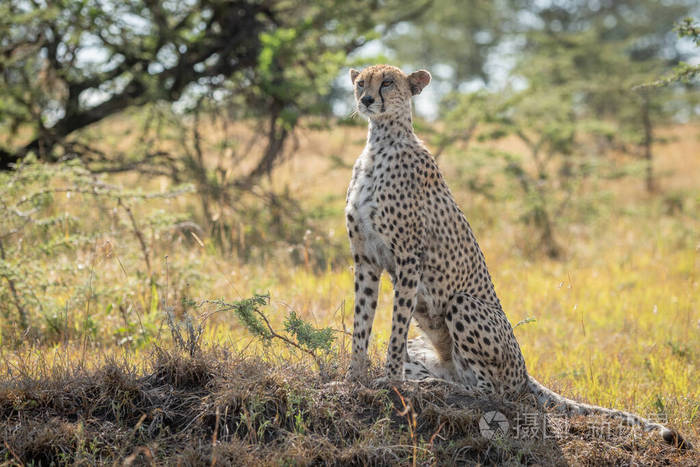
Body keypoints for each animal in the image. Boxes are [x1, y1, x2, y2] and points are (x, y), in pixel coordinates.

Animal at [344, 64, 688, 448]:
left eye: (388, 82)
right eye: (361, 82)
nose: (366, 99)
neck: (380, 141)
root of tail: (525, 372)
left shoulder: (407, 259)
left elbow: (394, 329)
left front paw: (389, 380)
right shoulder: (365, 259)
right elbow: (362, 321)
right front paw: (354, 376)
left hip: (464, 305)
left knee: (490, 392)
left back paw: (437, 387)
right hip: (428, 346)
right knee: (458, 376)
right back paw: (431, 381)